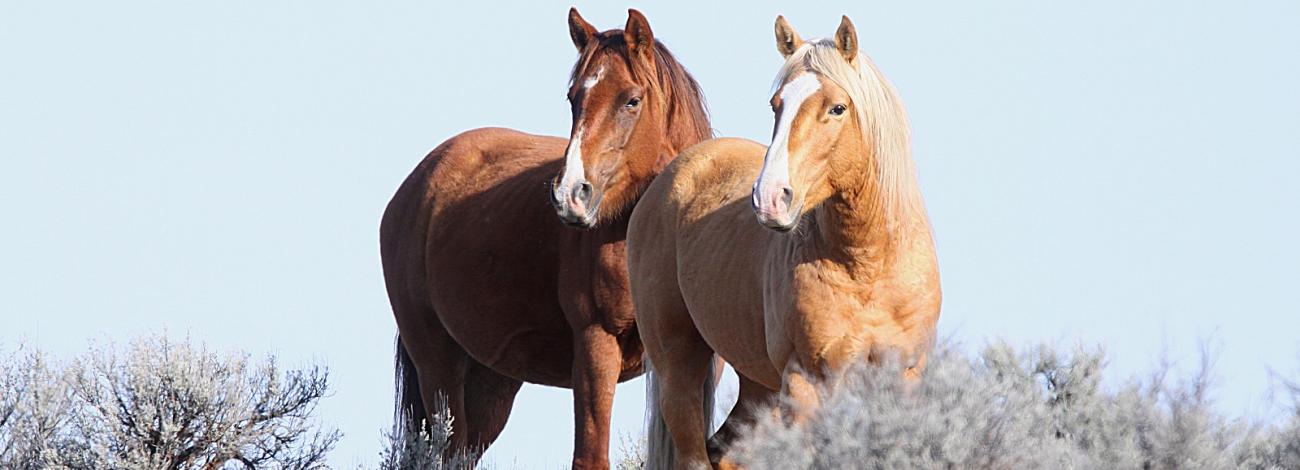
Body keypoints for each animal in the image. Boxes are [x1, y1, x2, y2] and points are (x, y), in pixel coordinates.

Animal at [379, 7, 712, 470]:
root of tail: (416, 186)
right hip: (437, 366)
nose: (571, 194)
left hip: (491, 380)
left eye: (631, 99)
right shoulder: (595, 346)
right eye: (573, 97)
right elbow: (589, 456)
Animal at [631, 15, 946, 470]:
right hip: (679, 363)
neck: (867, 266)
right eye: (776, 104)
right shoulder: (804, 383)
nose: (769, 198)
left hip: (756, 385)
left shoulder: (905, 378)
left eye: (837, 107)